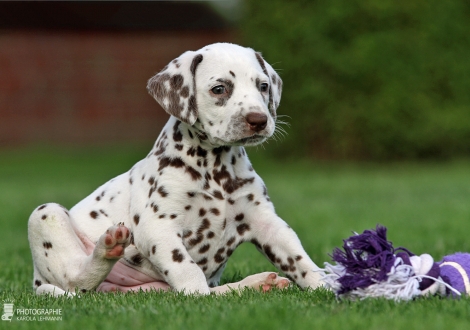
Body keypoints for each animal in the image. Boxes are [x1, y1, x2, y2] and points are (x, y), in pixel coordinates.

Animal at [27, 42, 324, 296]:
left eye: (263, 86)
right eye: (219, 89)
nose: (259, 120)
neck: (215, 171)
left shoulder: (267, 222)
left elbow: (299, 259)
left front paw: (325, 284)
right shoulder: (158, 227)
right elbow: (187, 271)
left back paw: (256, 284)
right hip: (45, 214)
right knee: (76, 279)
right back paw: (107, 247)